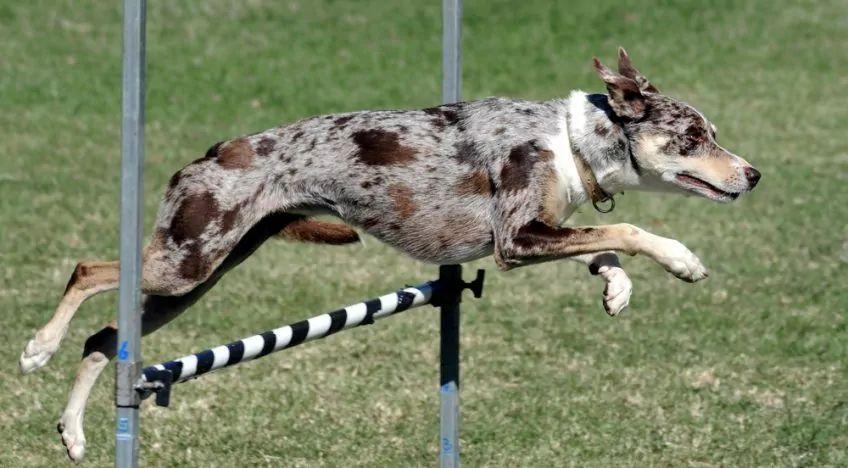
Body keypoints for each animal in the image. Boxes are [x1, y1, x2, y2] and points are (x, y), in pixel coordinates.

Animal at [19, 48, 760, 460]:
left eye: (713, 133)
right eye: (694, 138)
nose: (754, 175)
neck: (571, 141)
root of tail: (208, 154)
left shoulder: (530, 233)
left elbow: (600, 244)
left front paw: (615, 286)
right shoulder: (516, 239)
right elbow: (628, 229)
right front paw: (680, 259)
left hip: (197, 277)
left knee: (105, 335)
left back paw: (73, 433)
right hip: (186, 262)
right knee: (89, 270)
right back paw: (36, 347)